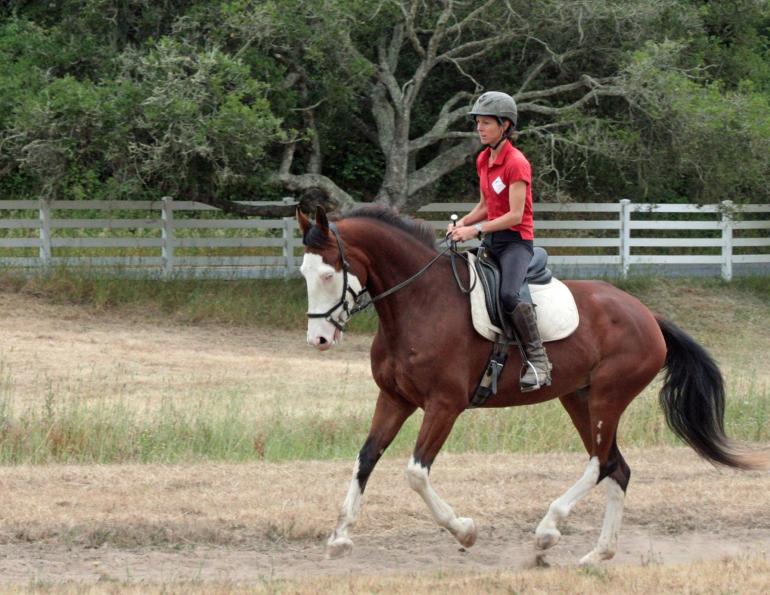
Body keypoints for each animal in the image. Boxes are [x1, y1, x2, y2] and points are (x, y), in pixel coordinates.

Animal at [297, 205, 767, 565]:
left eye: (328, 275)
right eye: (304, 273)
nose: (318, 340)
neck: (419, 303)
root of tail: (648, 315)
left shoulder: (444, 405)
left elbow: (415, 473)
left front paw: (464, 531)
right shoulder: (394, 399)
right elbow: (366, 458)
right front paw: (340, 537)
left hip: (608, 397)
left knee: (599, 464)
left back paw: (548, 530)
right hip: (578, 398)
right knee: (617, 467)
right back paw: (596, 555)